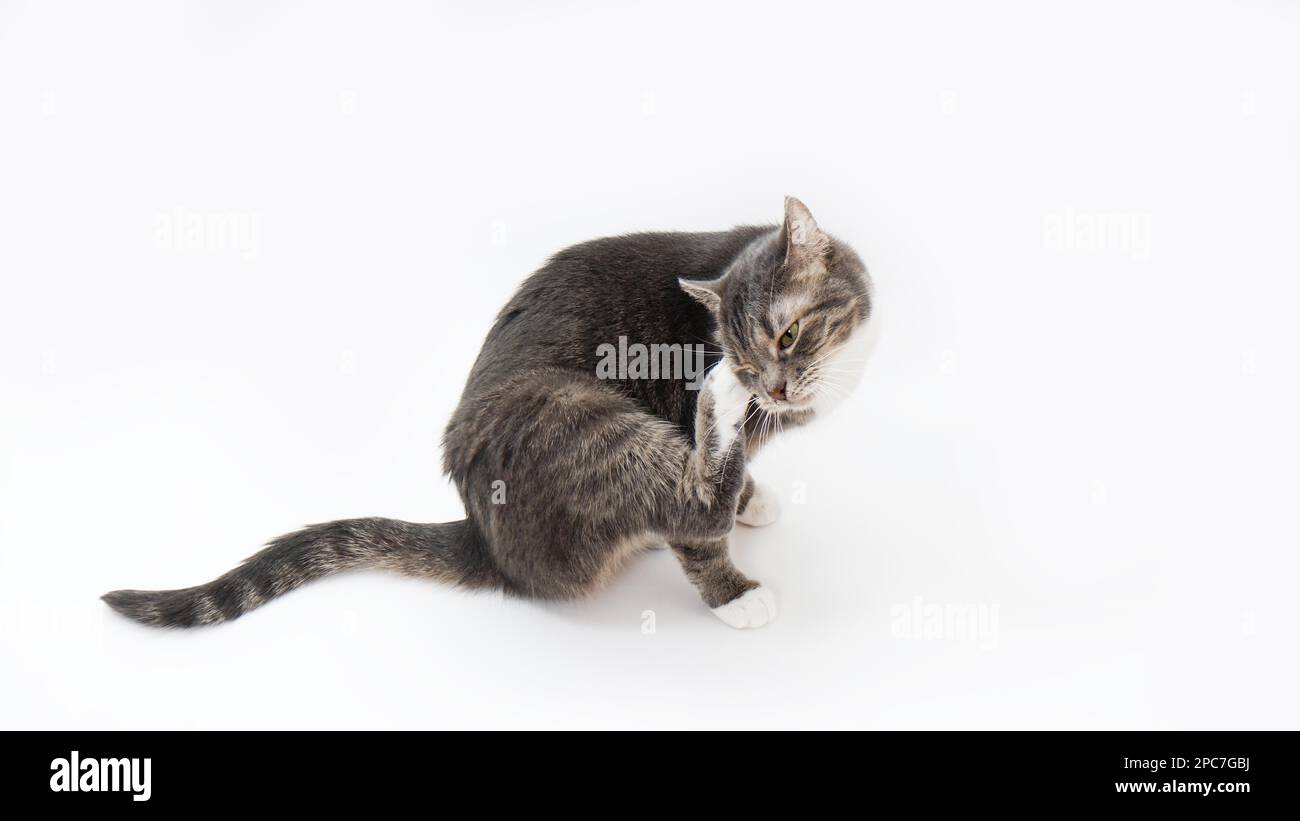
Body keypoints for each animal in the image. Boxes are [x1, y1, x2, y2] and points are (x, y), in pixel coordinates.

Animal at [101, 197, 873, 628]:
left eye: (787, 337)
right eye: (741, 355)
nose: (766, 389)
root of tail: (485, 538)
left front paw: (753, 496)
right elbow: (703, 538)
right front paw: (734, 592)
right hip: (573, 413)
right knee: (687, 497)